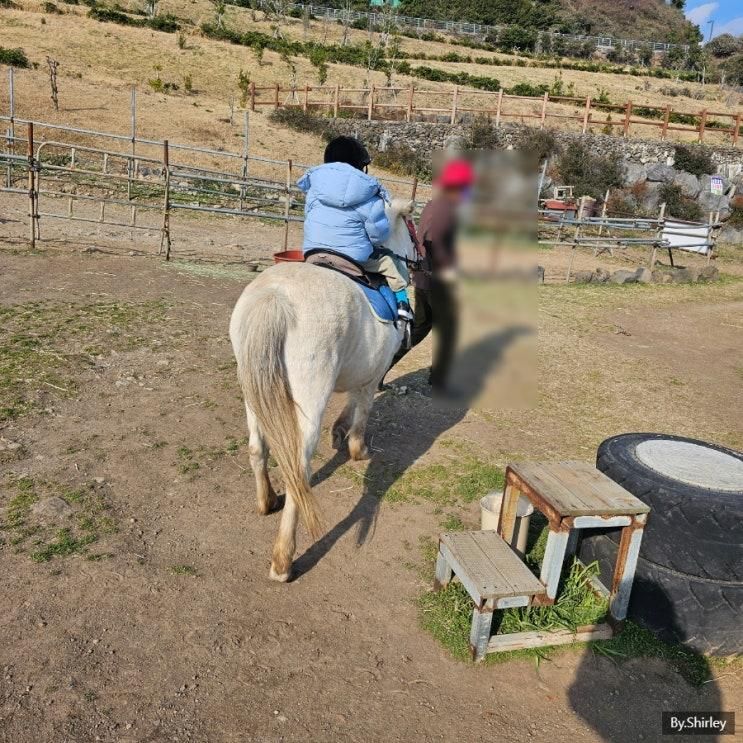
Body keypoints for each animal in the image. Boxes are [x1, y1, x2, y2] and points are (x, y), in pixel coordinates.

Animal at [230, 198, 416, 580]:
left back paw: (267, 501)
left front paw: (339, 432)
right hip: (308, 402)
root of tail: (275, 297)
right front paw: (357, 447)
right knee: (298, 471)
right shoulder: (373, 374)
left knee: (258, 449)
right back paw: (283, 561)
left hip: (253, 395)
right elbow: (362, 410)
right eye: (412, 230)